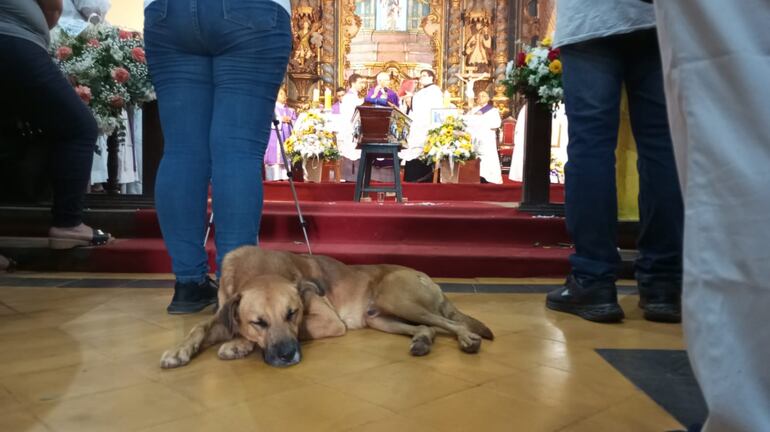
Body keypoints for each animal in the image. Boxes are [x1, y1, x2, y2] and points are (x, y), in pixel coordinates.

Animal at [160, 246, 492, 368]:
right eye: (259, 322)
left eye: (292, 314)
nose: (287, 356)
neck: (259, 268)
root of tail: (424, 275)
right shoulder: (222, 315)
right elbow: (199, 326)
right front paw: (179, 350)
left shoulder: (328, 321)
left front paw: (238, 345)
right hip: (381, 318)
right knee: (430, 327)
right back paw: (422, 341)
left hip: (398, 299)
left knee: (450, 323)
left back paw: (467, 338)